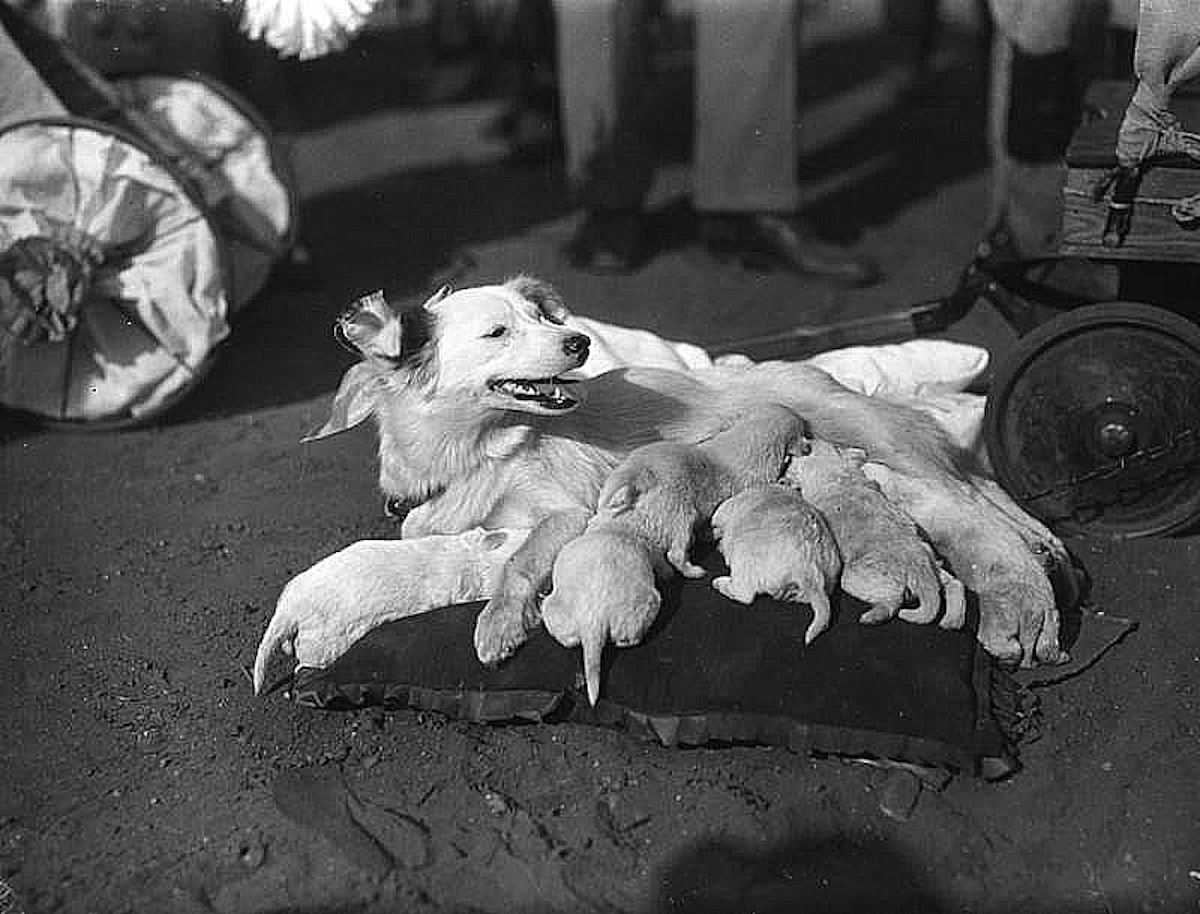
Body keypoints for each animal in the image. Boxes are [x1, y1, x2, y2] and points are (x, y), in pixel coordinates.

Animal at [782, 439, 969, 628]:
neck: (833, 470)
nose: (785, 469)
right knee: (954, 584)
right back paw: (952, 620)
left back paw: (873, 616)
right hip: (933, 563)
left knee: (894, 601)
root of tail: (917, 566)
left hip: (854, 578)